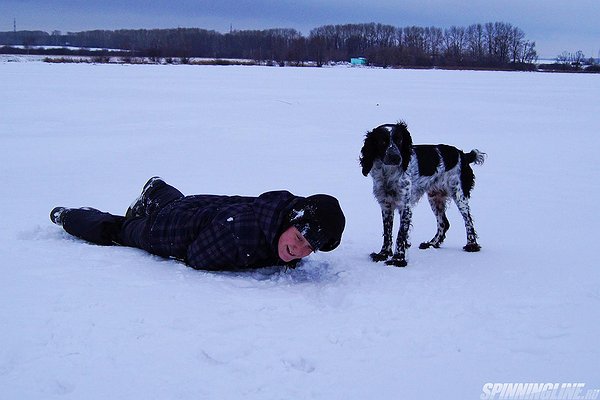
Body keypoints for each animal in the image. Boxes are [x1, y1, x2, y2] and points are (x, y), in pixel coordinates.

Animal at [358, 122, 486, 266]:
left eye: (400, 140)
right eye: (382, 141)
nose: (396, 157)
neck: (388, 174)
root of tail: (462, 154)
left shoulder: (405, 206)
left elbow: (400, 234)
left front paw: (398, 259)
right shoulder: (386, 205)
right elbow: (387, 232)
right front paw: (383, 254)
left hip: (459, 194)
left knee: (467, 220)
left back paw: (472, 245)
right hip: (435, 197)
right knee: (444, 223)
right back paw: (432, 243)